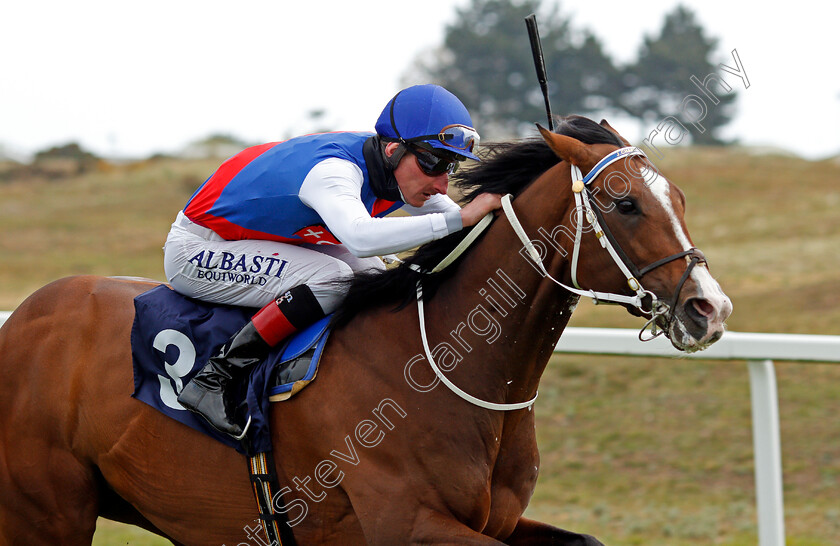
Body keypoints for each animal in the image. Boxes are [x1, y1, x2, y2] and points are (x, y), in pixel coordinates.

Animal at [0, 117, 728, 540]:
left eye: (680, 198)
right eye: (624, 204)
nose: (709, 308)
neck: (447, 373)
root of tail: (25, 317)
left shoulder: (500, 520)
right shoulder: (407, 523)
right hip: (47, 511)